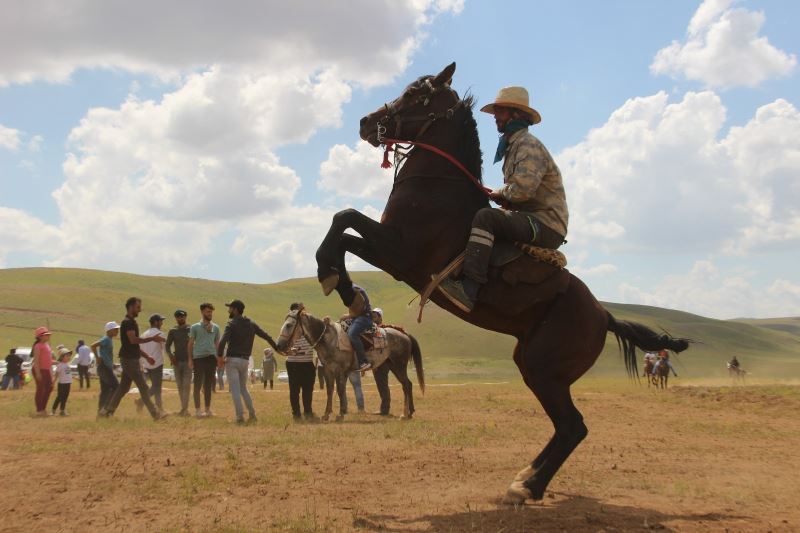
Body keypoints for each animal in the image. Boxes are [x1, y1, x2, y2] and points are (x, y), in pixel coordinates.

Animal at [276, 308, 424, 420]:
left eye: (289, 325)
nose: (279, 345)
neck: (329, 339)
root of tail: (405, 334)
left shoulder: (340, 370)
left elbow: (341, 390)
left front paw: (341, 414)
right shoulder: (328, 370)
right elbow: (330, 391)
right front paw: (326, 414)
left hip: (399, 365)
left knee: (407, 385)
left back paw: (406, 414)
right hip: (393, 365)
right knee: (407, 384)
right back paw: (409, 412)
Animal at [312, 62, 688, 502]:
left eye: (415, 94)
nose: (366, 122)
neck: (438, 185)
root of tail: (603, 316)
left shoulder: (399, 254)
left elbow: (345, 221)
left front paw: (336, 281)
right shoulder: (391, 249)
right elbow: (344, 225)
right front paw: (343, 285)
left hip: (544, 370)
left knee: (573, 426)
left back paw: (528, 487)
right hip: (533, 367)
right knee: (566, 427)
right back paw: (526, 477)